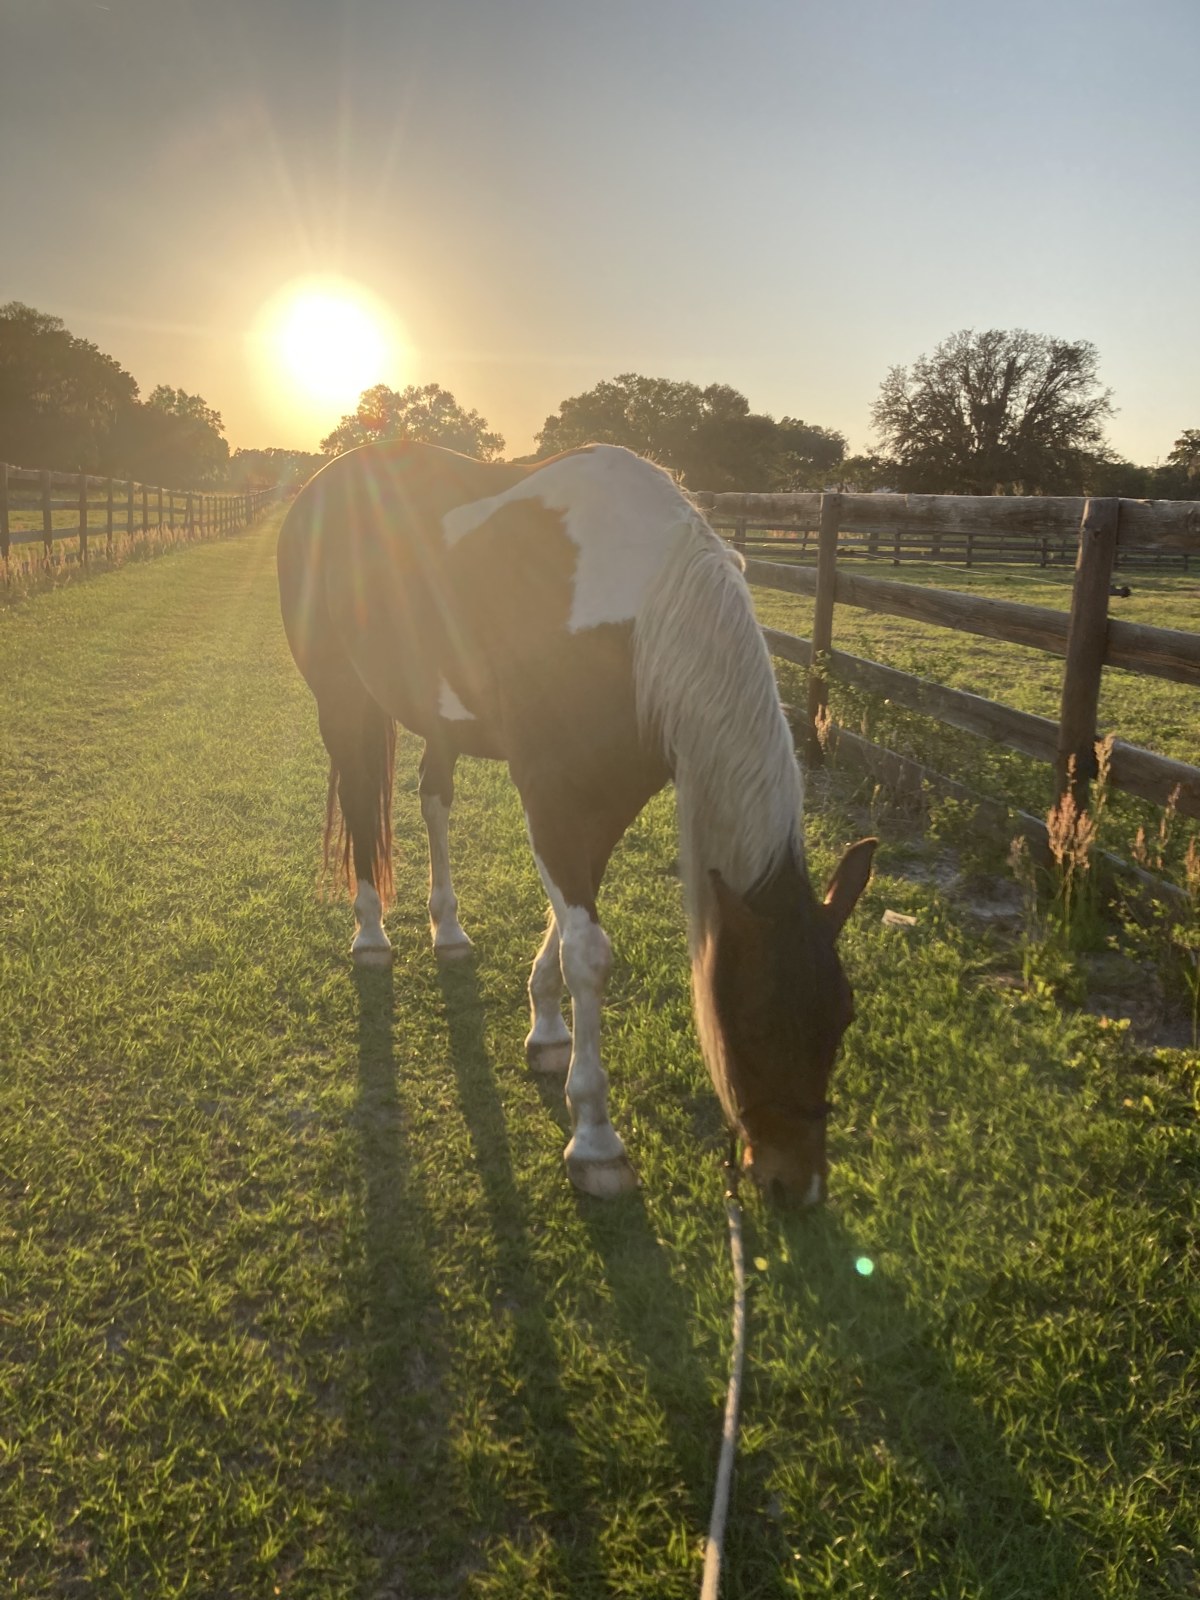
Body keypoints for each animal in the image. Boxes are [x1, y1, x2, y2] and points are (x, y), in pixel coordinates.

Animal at [277, 440, 875, 1205]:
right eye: (755, 1018)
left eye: (843, 1015)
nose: (795, 1185)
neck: (639, 617)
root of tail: (326, 480)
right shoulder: (552, 796)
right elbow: (587, 952)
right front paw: (594, 1137)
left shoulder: (603, 800)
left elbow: (565, 926)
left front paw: (546, 1032)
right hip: (342, 697)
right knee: (359, 801)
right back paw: (371, 933)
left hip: (437, 719)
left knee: (433, 800)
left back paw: (448, 929)